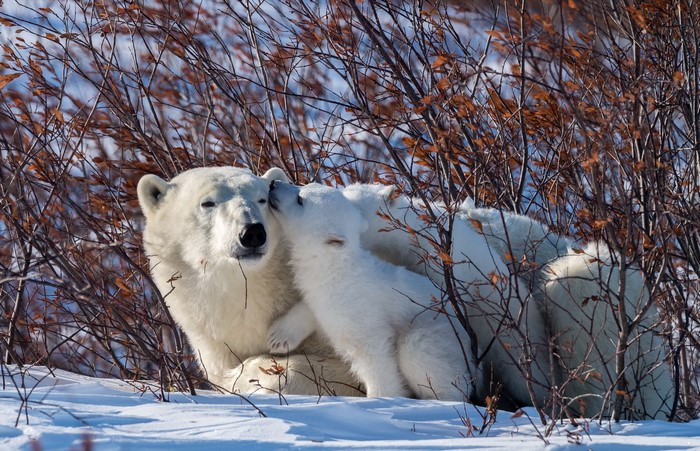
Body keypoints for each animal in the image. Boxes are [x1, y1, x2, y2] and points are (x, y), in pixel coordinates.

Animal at [266, 181, 478, 401]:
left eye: (300, 199)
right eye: (306, 185)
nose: (274, 184)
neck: (336, 269)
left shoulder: (358, 307)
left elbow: (372, 352)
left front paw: (381, 397)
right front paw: (278, 336)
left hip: (434, 330)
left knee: (418, 352)